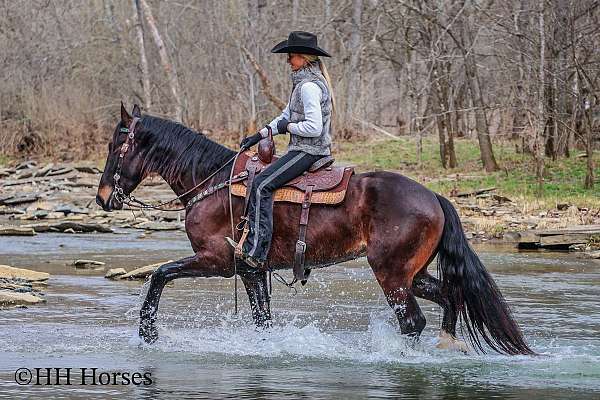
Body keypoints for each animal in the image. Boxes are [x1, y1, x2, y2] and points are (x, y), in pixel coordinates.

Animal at [95, 104, 536, 354]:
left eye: (117, 145)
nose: (102, 198)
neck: (213, 182)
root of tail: (434, 197)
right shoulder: (251, 271)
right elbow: (262, 319)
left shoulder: (216, 261)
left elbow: (158, 276)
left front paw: (148, 334)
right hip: (415, 274)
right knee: (449, 298)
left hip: (392, 274)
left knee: (412, 321)